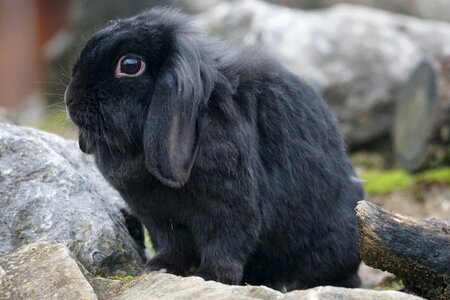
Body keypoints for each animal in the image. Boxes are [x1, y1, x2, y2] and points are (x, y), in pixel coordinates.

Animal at [65, 8, 364, 292]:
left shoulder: (230, 204)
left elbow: (225, 243)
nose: (71, 99)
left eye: (129, 65)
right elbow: (172, 243)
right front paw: (159, 268)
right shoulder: (156, 215)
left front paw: (212, 276)